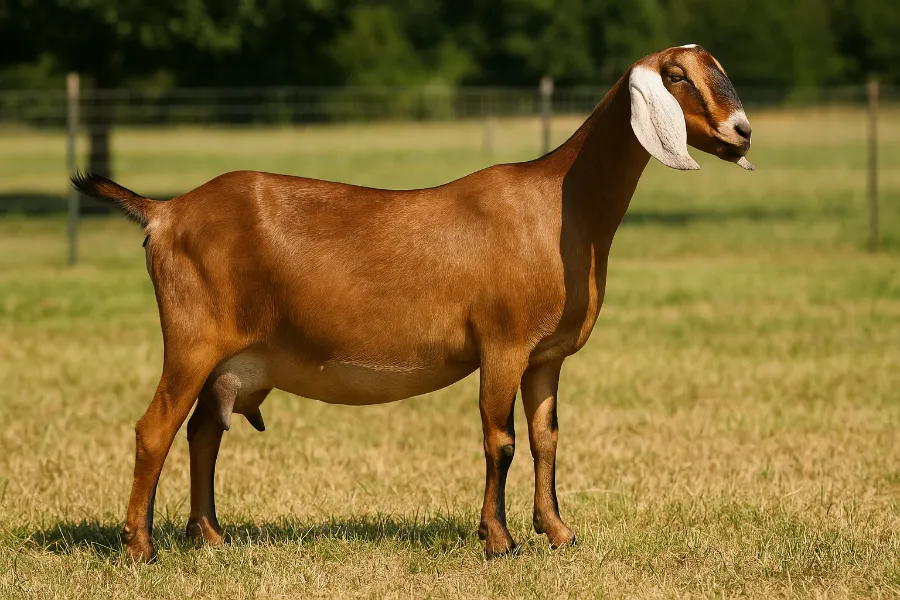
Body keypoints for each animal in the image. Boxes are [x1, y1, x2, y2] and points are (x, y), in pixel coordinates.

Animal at [72, 45, 753, 562]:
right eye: (676, 75)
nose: (742, 131)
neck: (559, 203)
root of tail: (164, 212)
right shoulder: (503, 343)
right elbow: (501, 440)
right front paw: (499, 541)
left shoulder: (545, 356)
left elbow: (546, 438)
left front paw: (559, 532)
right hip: (192, 339)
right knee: (154, 429)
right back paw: (140, 547)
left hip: (231, 360)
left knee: (203, 431)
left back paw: (211, 537)